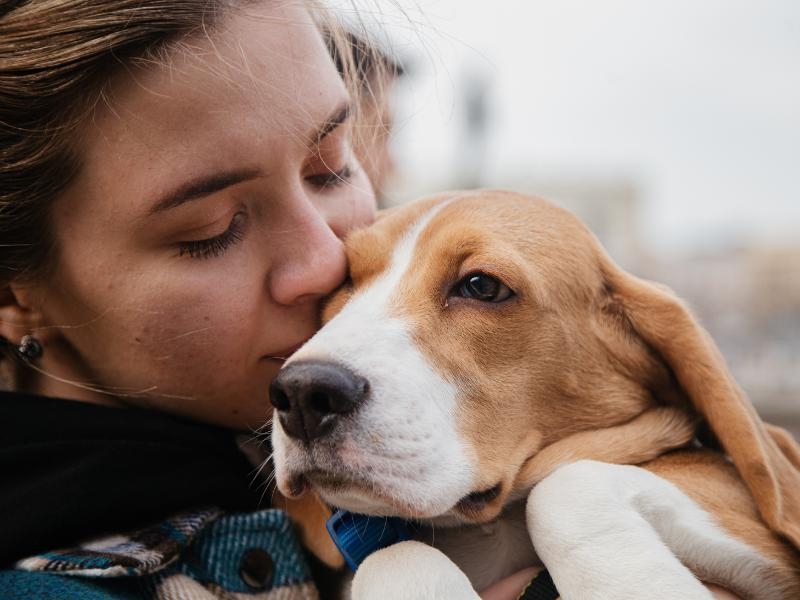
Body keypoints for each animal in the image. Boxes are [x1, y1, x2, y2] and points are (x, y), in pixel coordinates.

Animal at [270, 190, 800, 596]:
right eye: (345, 280)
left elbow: (564, 486)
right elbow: (395, 555)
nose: (302, 393)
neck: (490, 527)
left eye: (482, 286)